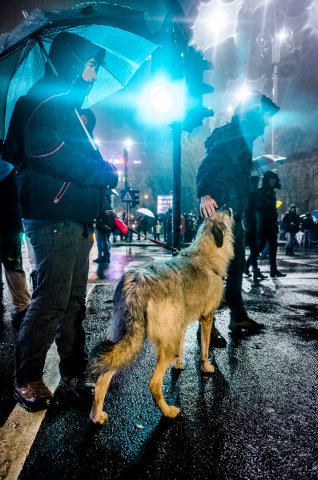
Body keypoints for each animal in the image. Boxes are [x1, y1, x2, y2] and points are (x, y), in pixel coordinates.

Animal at [89, 212, 234, 426]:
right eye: (224, 214)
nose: (230, 208)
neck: (204, 255)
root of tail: (136, 283)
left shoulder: (180, 324)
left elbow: (182, 348)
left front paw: (179, 364)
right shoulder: (206, 317)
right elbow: (205, 349)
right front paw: (206, 367)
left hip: (125, 340)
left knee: (103, 377)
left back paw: (96, 416)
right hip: (164, 345)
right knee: (154, 383)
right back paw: (168, 411)